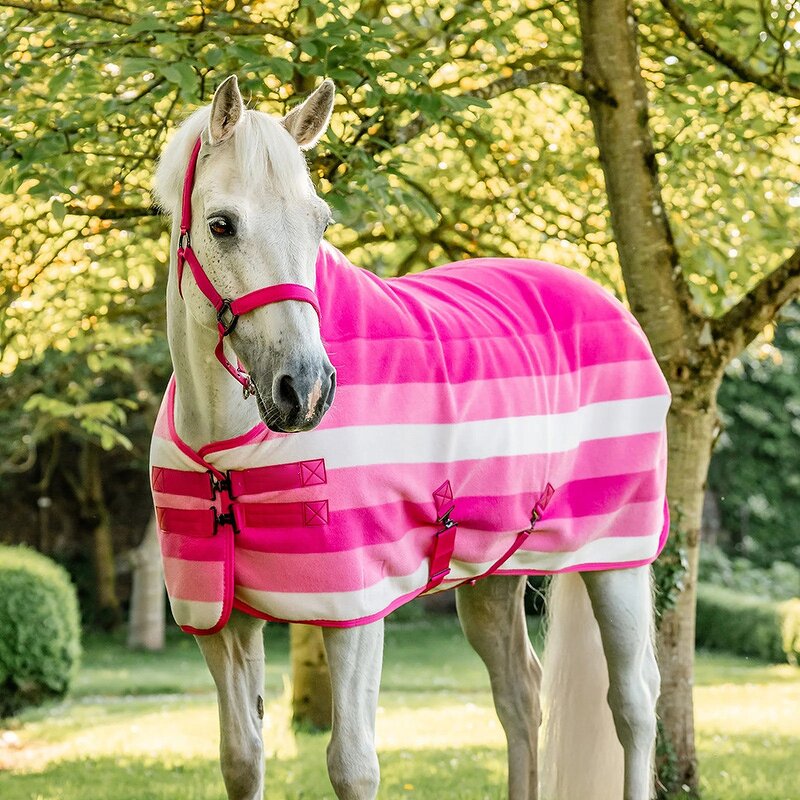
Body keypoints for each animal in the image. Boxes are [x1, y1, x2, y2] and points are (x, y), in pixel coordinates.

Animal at [150, 74, 669, 800]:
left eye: (320, 223)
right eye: (220, 224)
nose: (306, 389)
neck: (226, 449)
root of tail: (610, 304)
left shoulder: (355, 611)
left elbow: (352, 765)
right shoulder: (221, 623)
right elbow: (241, 759)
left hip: (618, 558)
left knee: (633, 703)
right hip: (492, 576)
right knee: (520, 696)